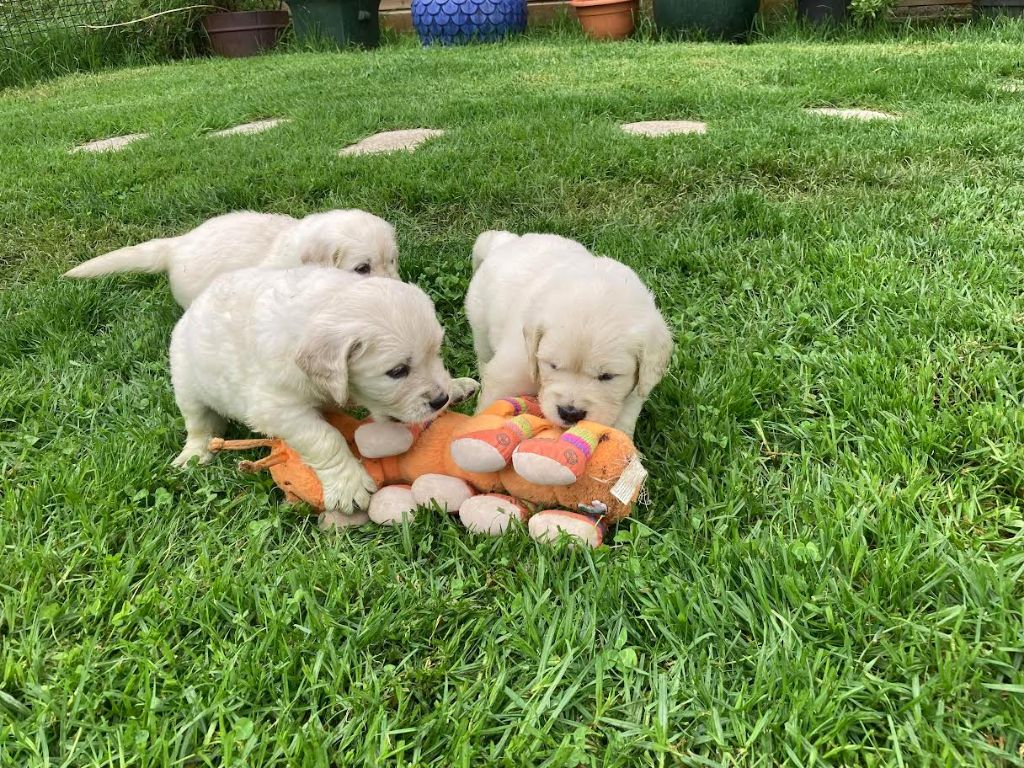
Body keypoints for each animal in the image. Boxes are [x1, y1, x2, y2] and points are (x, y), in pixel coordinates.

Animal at [172, 264, 479, 518]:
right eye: (397, 371)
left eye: (436, 352)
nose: (440, 400)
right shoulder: (277, 407)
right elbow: (324, 437)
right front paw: (350, 486)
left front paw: (457, 386)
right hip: (186, 382)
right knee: (198, 425)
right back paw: (193, 455)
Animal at [464, 231, 671, 438]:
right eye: (553, 366)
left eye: (607, 376)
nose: (570, 413)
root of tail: (507, 241)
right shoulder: (509, 372)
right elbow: (490, 403)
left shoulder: (634, 391)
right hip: (480, 324)